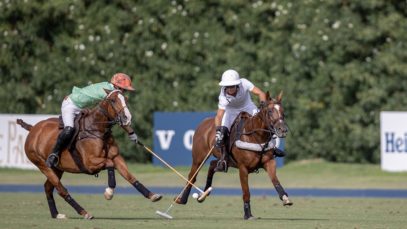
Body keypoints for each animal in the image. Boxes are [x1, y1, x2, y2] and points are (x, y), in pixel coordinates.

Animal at [17, 89, 162, 218]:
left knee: (48, 187)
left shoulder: (116, 157)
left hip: (58, 168)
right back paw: (84, 212)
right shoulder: (90, 163)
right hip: (42, 165)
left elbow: (130, 177)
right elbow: (110, 164)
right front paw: (109, 192)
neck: (97, 129)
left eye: (125, 99)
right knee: (61, 190)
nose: (127, 118)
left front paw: (152, 195)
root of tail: (33, 129)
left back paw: (56, 214)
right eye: (113, 100)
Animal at [177, 91, 292, 220]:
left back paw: (204, 193)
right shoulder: (243, 168)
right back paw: (182, 199)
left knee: (213, 165)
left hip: (226, 161)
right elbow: (246, 192)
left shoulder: (269, 162)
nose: (283, 130)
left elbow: (275, 180)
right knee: (192, 175)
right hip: (198, 157)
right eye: (270, 111)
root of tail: (204, 121)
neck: (256, 137)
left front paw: (285, 198)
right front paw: (248, 214)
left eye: (283, 111)